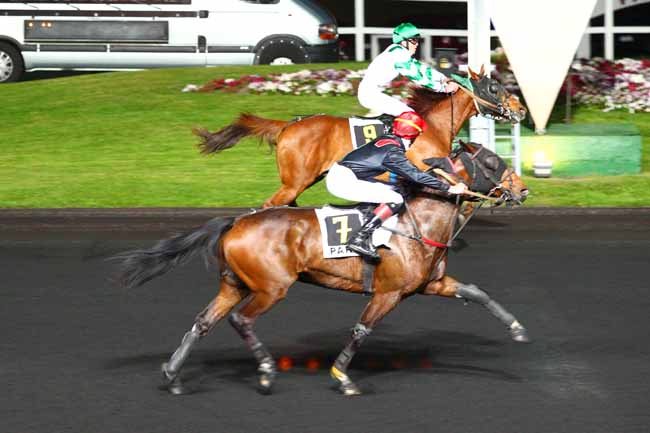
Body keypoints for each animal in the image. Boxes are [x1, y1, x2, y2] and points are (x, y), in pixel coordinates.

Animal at [115, 140, 530, 397]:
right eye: (492, 163)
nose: (522, 190)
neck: (419, 222)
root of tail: (237, 221)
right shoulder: (389, 293)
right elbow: (362, 329)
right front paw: (342, 377)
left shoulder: (431, 284)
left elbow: (477, 293)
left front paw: (517, 328)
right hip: (271, 287)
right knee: (240, 320)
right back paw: (267, 371)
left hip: (233, 284)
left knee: (203, 322)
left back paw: (173, 375)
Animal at [194, 66, 527, 208]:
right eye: (494, 88)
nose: (521, 109)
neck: (432, 124)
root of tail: (289, 125)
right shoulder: (423, 166)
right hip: (294, 182)